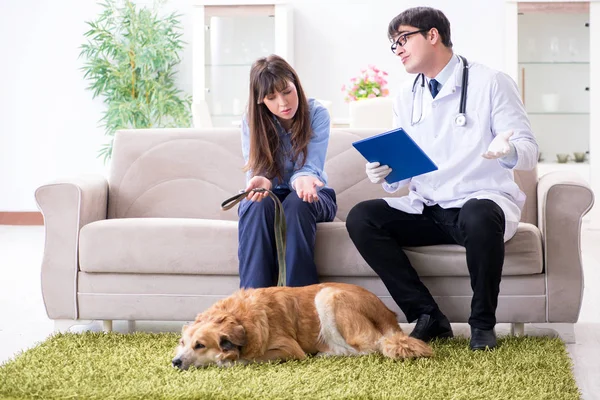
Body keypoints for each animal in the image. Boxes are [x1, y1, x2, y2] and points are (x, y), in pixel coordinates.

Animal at [171, 282, 434, 368]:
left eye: (200, 345)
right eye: (182, 343)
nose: (175, 362)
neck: (240, 318)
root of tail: (388, 315)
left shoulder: (289, 349)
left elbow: (251, 358)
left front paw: (226, 360)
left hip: (328, 296)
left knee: (369, 347)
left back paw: (327, 353)